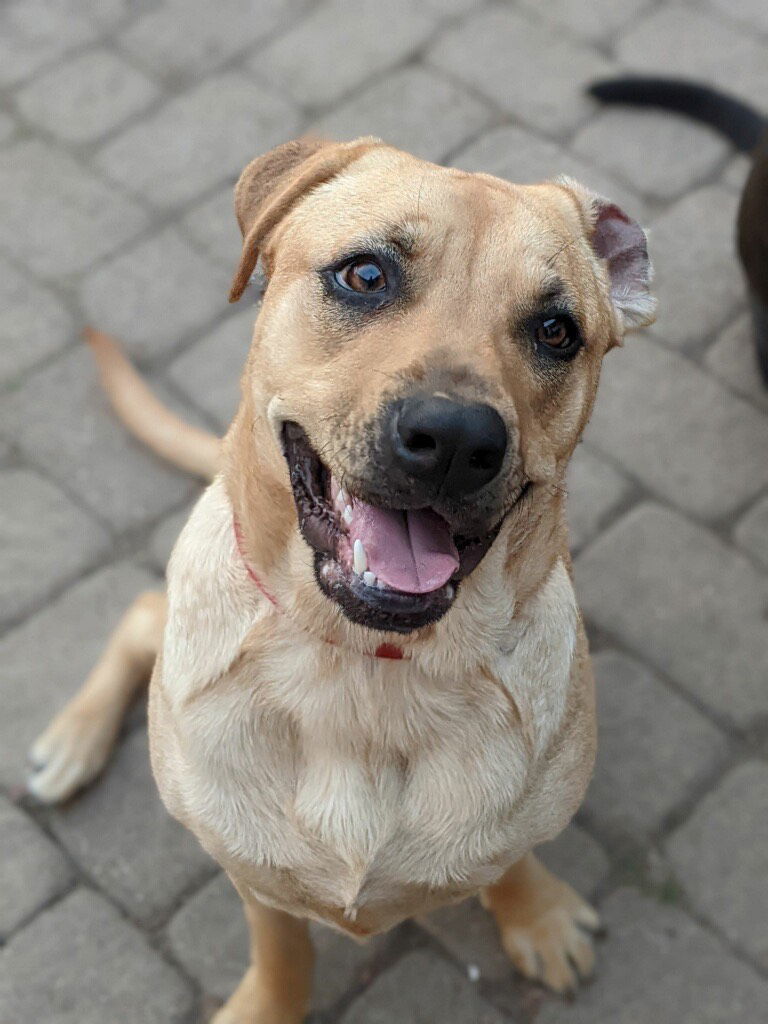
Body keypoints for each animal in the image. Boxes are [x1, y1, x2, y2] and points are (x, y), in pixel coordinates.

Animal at [28, 138, 655, 1024]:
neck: (364, 669)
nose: (455, 438)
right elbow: (283, 953)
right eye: (365, 274)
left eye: (556, 330)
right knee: (148, 609)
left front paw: (536, 916)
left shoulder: (520, 823)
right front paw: (266, 1006)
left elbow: (512, 861)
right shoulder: (251, 873)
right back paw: (70, 742)